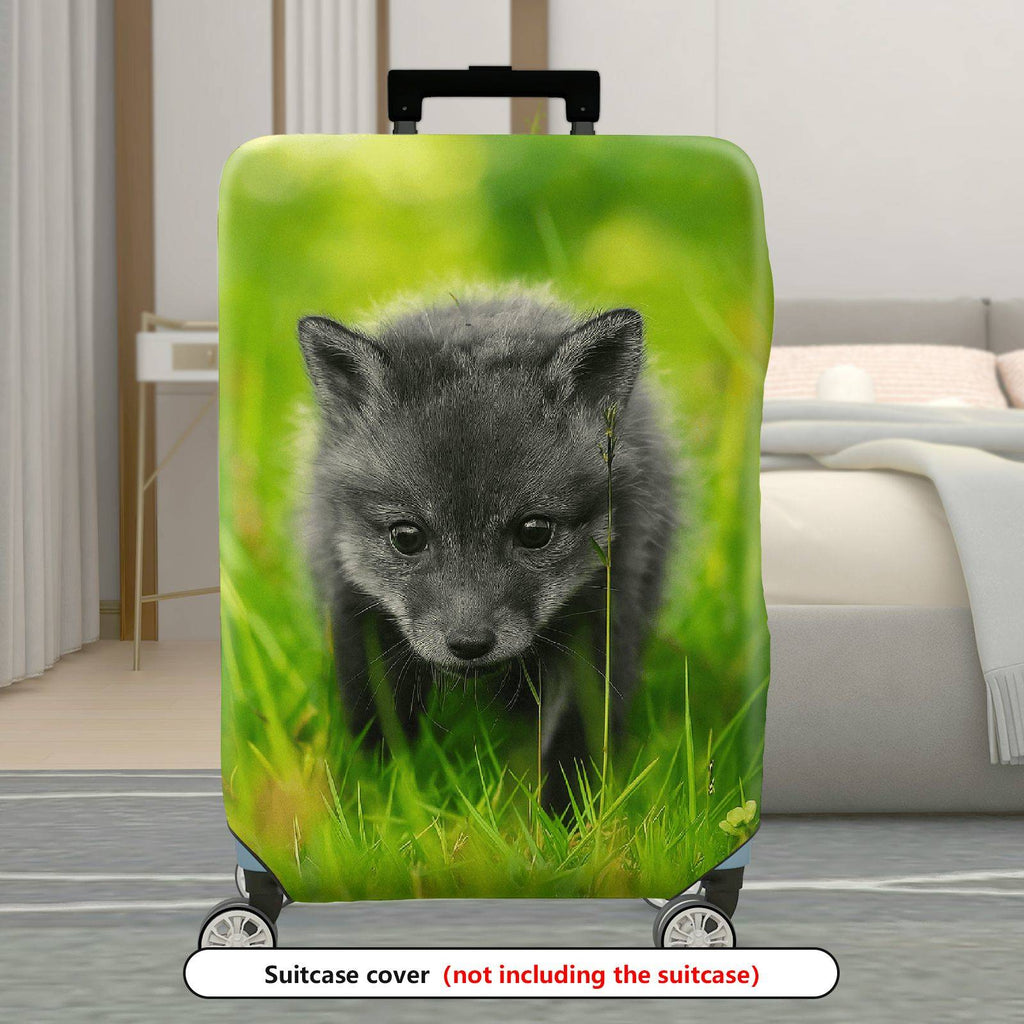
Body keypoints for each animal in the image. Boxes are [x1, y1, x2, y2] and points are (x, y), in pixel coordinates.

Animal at [297, 290, 677, 812]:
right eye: (407, 536)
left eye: (535, 531)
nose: (469, 644)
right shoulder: (355, 607)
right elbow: (379, 737)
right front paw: (383, 807)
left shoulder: (603, 615)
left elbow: (573, 746)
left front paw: (564, 825)